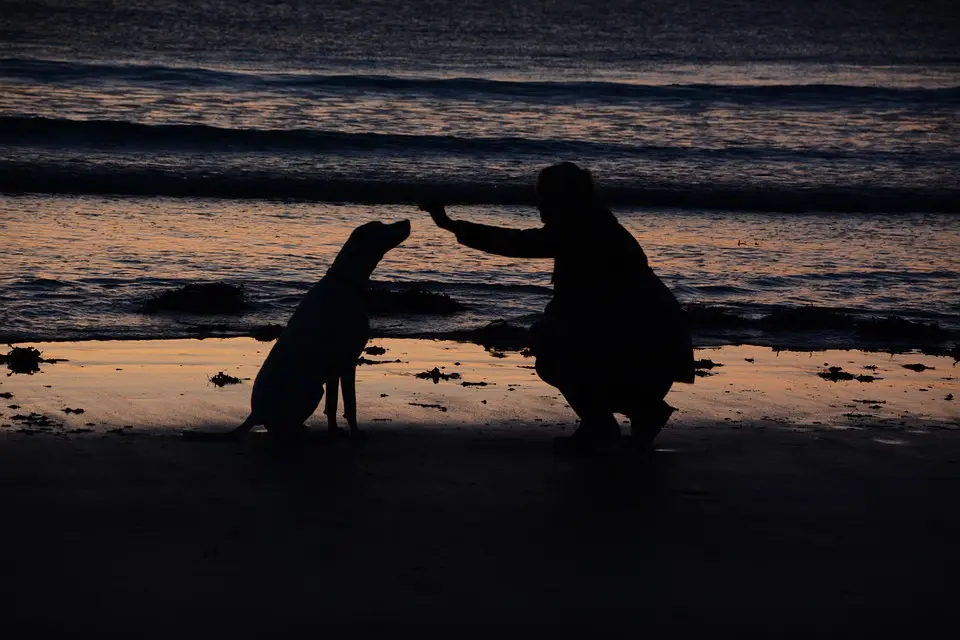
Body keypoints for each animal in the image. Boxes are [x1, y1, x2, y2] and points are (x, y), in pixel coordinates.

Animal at [186, 219, 410, 440]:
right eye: (381, 226)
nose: (407, 221)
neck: (346, 283)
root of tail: (255, 413)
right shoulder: (347, 363)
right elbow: (350, 405)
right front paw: (355, 433)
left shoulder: (334, 369)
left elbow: (332, 406)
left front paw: (334, 431)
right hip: (312, 391)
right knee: (280, 429)